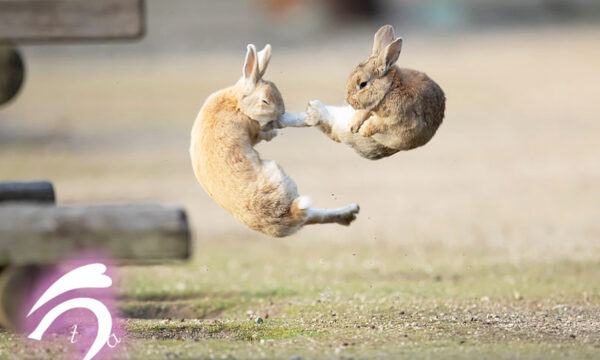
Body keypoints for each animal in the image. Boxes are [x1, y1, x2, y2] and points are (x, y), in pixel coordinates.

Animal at [190, 43, 358, 238]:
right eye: (265, 101)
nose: (281, 113)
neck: (238, 103)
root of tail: (288, 214)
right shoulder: (255, 129)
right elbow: (265, 131)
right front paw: (280, 129)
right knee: (311, 214)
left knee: (314, 216)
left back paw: (351, 212)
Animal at [304, 24, 446, 160]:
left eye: (362, 84)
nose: (349, 101)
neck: (389, 89)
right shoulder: (370, 107)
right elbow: (364, 113)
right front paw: (353, 125)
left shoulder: (397, 120)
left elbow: (378, 124)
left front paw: (363, 130)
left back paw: (314, 111)